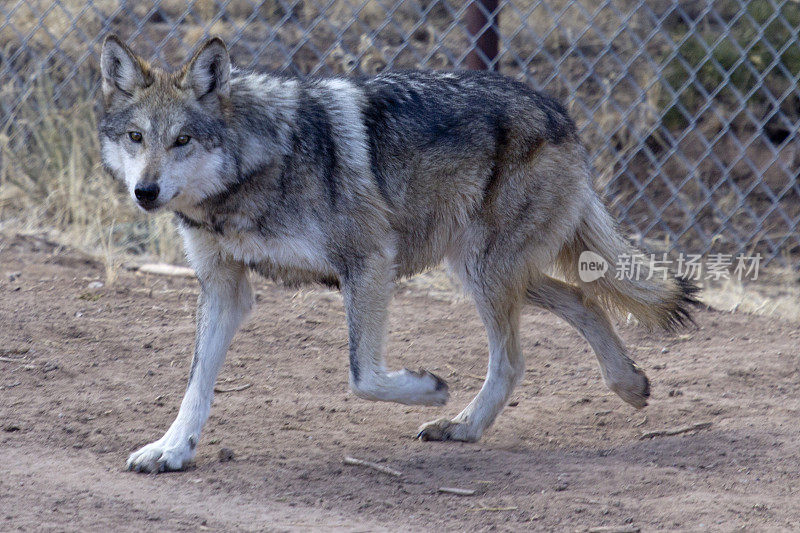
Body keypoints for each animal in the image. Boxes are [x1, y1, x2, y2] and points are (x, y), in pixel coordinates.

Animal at [98, 35, 700, 472]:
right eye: (136, 137)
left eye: (182, 140)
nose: (145, 192)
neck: (252, 171)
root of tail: (559, 112)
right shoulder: (223, 286)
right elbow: (195, 385)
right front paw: (172, 450)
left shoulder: (369, 262)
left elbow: (362, 375)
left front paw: (429, 391)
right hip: (486, 271)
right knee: (582, 300)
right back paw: (623, 385)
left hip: (486, 272)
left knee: (514, 356)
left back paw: (462, 421)